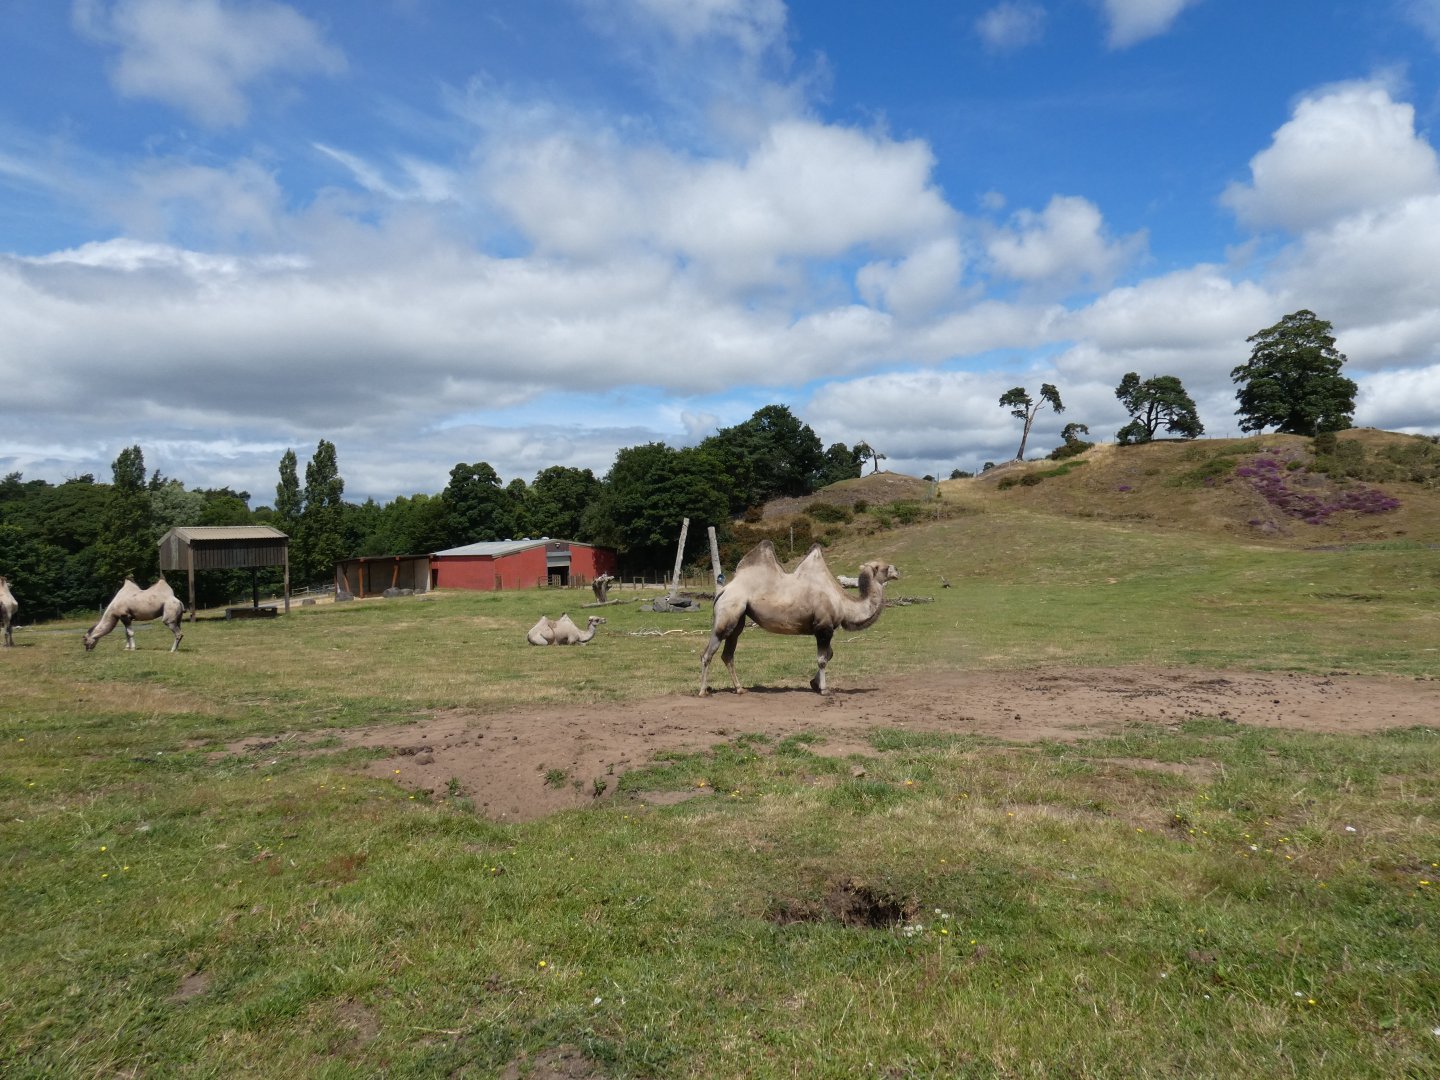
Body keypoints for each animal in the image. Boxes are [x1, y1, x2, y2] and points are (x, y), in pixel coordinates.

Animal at [699, 540, 899, 696]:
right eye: (883, 567)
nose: (897, 570)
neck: (843, 603)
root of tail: (724, 589)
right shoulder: (823, 627)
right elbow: (823, 659)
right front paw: (824, 689)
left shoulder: (826, 629)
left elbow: (829, 654)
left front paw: (814, 684)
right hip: (728, 612)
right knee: (709, 652)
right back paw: (703, 691)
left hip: (739, 618)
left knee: (728, 654)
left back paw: (740, 689)